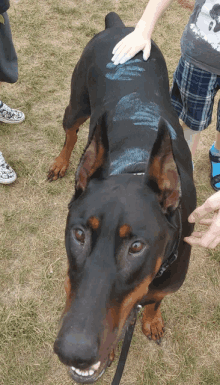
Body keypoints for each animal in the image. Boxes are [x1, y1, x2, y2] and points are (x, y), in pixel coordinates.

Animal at [49, 12, 196, 384]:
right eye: (79, 234)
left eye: (136, 246)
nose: (73, 351)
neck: (135, 168)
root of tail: (120, 26)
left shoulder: (168, 280)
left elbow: (155, 301)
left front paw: (152, 320)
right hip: (78, 103)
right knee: (72, 133)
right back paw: (61, 162)